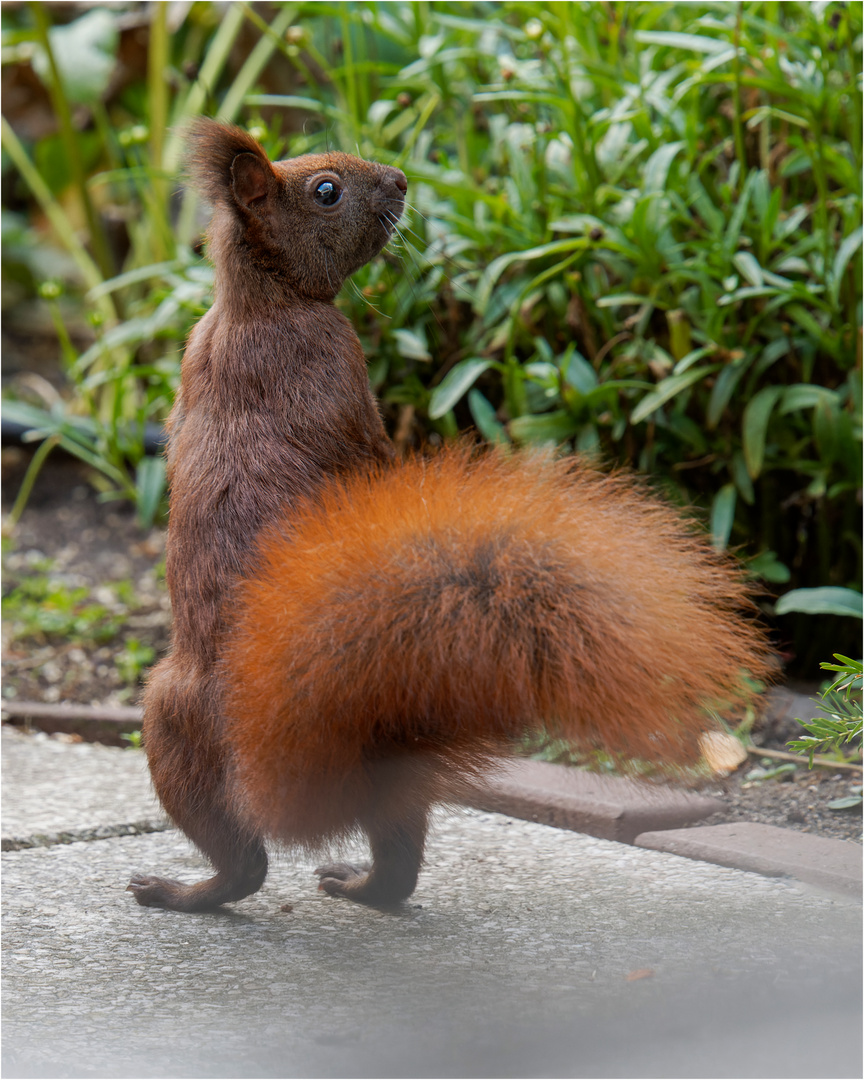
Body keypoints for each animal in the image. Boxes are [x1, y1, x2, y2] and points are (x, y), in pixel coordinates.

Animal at [126, 118, 768, 911]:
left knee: (383, 855)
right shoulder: (336, 367)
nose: (401, 179)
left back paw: (346, 884)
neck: (264, 307)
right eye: (326, 190)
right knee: (253, 867)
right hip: (172, 723)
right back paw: (189, 891)